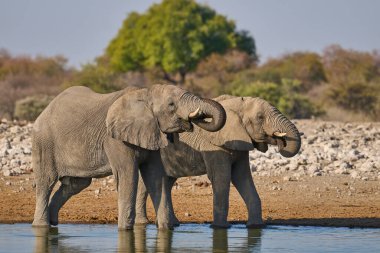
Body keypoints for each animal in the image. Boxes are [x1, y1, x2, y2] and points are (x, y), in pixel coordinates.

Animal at [31, 84, 226, 229]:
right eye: (171, 104)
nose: (194, 119)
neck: (145, 94)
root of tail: (44, 110)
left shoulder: (152, 132)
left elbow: (155, 176)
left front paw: (165, 229)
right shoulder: (115, 139)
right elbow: (128, 175)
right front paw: (125, 229)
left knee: (75, 184)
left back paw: (53, 221)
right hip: (44, 142)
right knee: (46, 181)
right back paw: (41, 226)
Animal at [135, 94, 302, 227]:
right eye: (260, 117)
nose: (279, 141)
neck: (235, 104)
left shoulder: (240, 144)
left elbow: (242, 178)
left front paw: (256, 226)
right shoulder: (214, 145)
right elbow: (221, 177)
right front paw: (220, 228)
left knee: (167, 182)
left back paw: (173, 224)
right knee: (147, 184)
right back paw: (143, 223)